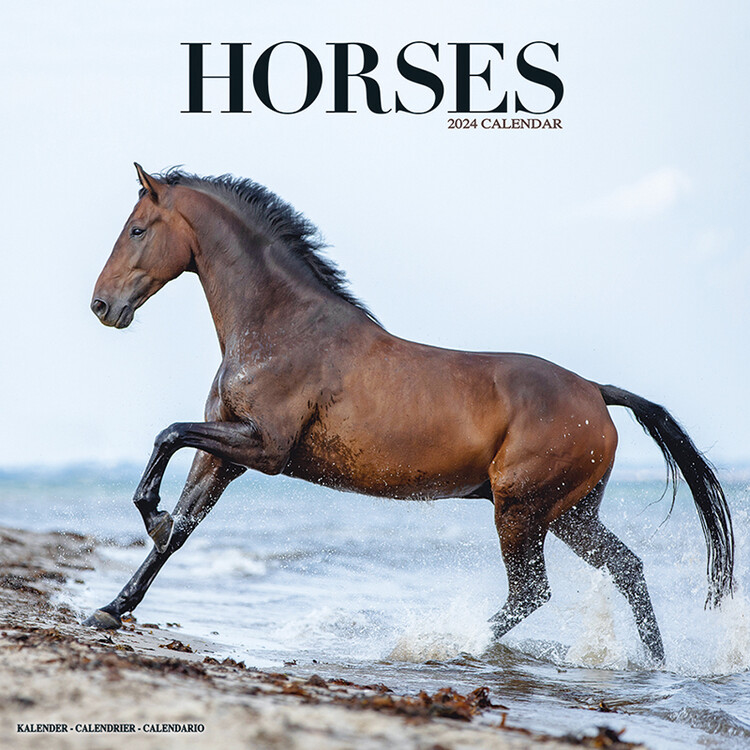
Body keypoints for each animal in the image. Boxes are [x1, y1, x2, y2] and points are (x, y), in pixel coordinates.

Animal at [85, 163, 734, 663]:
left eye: (138, 229)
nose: (101, 305)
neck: (279, 328)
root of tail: (597, 393)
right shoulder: (226, 457)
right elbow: (179, 529)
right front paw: (111, 607)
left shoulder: (261, 447)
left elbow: (167, 435)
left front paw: (151, 517)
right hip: (569, 514)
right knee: (627, 569)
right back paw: (657, 663)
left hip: (520, 510)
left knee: (533, 593)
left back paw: (444, 644)